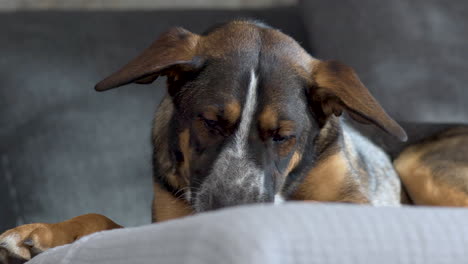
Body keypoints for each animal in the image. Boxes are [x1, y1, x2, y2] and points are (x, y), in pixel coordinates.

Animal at [0, 20, 468, 262]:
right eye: (210, 122)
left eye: (283, 136)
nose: (230, 211)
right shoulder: (169, 221)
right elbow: (105, 222)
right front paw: (40, 233)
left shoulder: (354, 205)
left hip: (417, 163)